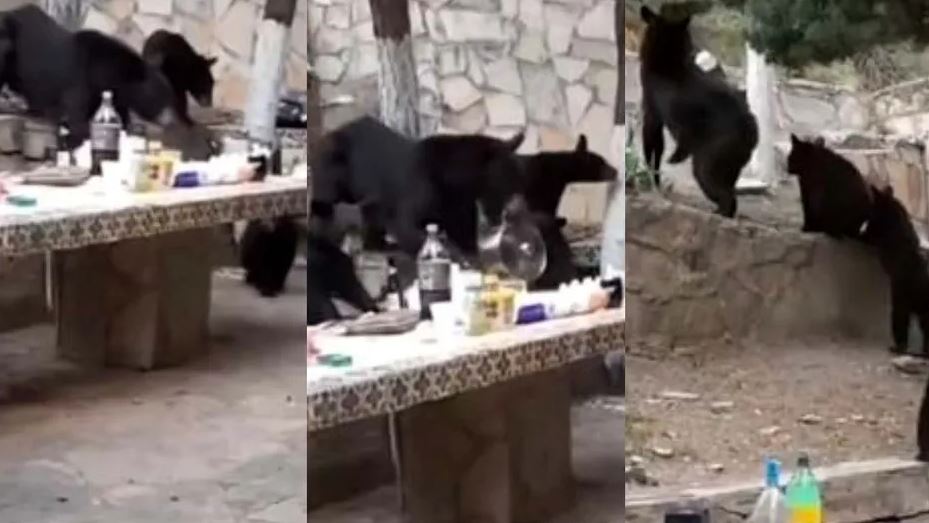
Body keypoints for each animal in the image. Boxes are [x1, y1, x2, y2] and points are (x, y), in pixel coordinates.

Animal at [0, 5, 179, 148]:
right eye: (162, 98)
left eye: (169, 96)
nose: (169, 121)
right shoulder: (80, 79)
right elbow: (77, 112)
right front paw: (72, 138)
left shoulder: (108, 91)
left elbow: (114, 112)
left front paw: (129, 128)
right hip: (9, 46)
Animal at [639, 6, 758, 217]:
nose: (694, 49)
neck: (667, 58)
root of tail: (753, 132)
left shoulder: (651, 108)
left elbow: (652, 142)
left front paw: (651, 178)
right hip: (732, 161)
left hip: (714, 152)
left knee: (717, 186)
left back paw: (718, 212)